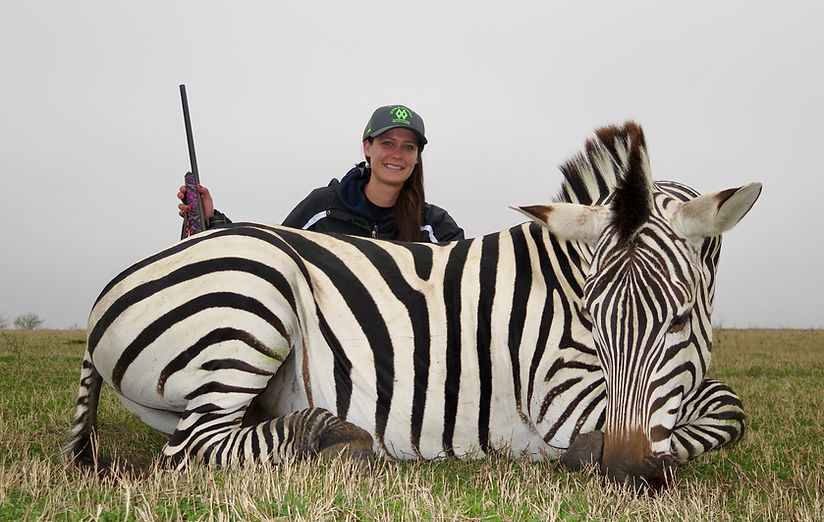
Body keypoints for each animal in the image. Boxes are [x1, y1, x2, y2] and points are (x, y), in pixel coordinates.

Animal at [67, 120, 764, 486]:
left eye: (680, 316)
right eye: (593, 318)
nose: (624, 468)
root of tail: (111, 287)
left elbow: (722, 405)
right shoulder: (558, 393)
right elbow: (706, 414)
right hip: (253, 299)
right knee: (190, 450)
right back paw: (332, 437)